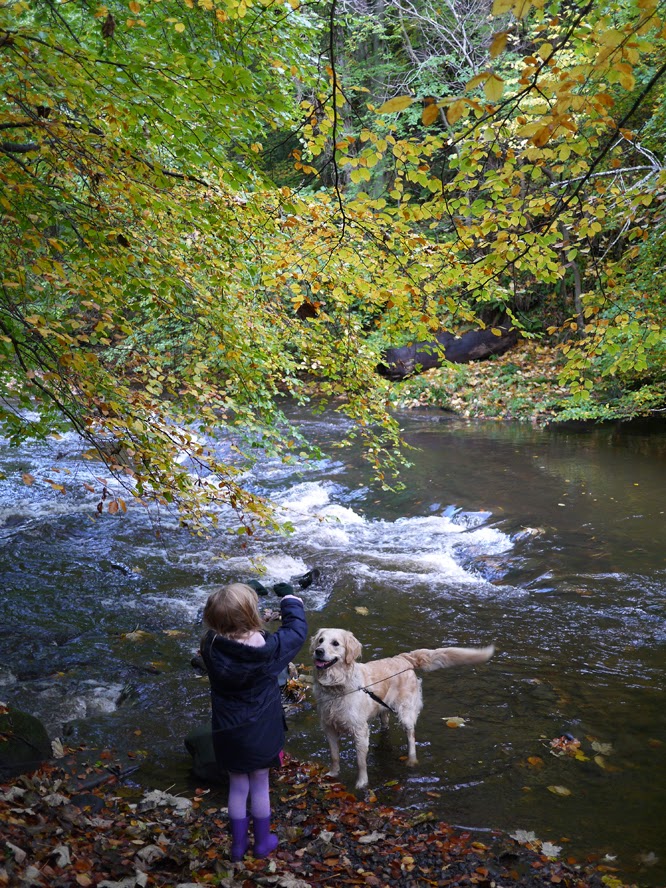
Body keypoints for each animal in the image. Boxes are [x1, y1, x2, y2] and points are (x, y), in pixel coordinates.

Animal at [308, 628, 490, 788]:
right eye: (320, 640)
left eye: (335, 643)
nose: (318, 651)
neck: (336, 686)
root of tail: (404, 658)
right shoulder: (329, 727)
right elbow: (334, 755)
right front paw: (332, 774)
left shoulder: (360, 730)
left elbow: (360, 762)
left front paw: (362, 783)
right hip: (383, 710)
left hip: (406, 712)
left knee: (411, 736)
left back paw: (411, 760)